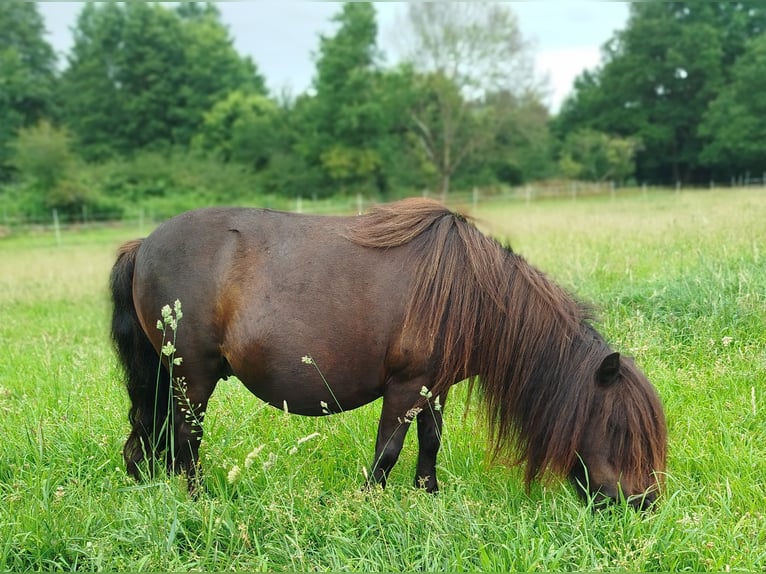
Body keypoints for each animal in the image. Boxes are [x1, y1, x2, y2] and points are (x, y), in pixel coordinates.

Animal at [110, 198, 667, 508]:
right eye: (619, 430)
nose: (642, 504)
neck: (468, 293)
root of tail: (144, 244)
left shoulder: (434, 388)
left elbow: (430, 443)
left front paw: (428, 496)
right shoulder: (405, 388)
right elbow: (387, 452)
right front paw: (369, 505)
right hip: (193, 376)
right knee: (185, 440)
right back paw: (197, 500)